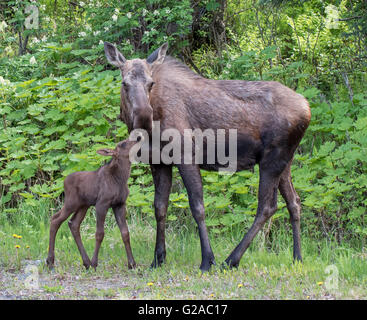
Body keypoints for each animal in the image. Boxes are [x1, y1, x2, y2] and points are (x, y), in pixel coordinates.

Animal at [46, 139, 140, 270]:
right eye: (122, 144)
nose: (138, 138)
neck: (121, 178)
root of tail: (63, 181)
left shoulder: (120, 204)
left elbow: (125, 233)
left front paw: (132, 263)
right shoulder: (102, 204)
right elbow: (99, 233)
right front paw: (95, 263)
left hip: (83, 206)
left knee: (73, 223)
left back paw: (86, 262)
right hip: (71, 203)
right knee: (55, 219)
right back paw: (50, 261)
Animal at [105, 40, 312, 270]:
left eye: (151, 83)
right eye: (124, 83)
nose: (143, 116)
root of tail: (307, 106)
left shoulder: (186, 156)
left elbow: (197, 207)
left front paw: (207, 259)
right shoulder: (159, 162)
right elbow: (159, 207)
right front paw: (158, 259)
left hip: (272, 160)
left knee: (267, 206)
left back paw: (231, 259)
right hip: (286, 162)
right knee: (294, 202)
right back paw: (297, 257)